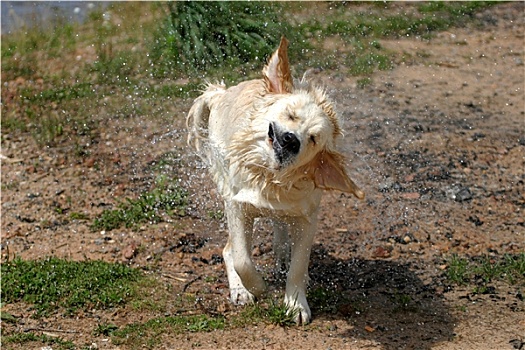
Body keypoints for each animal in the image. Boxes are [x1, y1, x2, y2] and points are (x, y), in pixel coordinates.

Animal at [186, 37, 362, 324]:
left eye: (313, 138)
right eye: (291, 115)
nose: (291, 140)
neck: (269, 176)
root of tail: (222, 92)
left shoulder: (307, 217)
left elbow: (299, 265)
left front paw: (296, 304)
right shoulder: (238, 206)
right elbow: (242, 259)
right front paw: (257, 288)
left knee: (279, 227)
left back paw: (281, 253)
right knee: (229, 249)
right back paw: (240, 291)